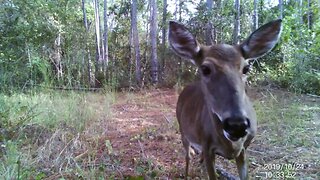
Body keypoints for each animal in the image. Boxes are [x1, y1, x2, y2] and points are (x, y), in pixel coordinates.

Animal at [169, 19, 282, 179]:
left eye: (246, 68)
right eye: (205, 69)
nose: (237, 125)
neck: (230, 146)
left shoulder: (243, 149)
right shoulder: (207, 146)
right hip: (182, 130)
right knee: (187, 155)